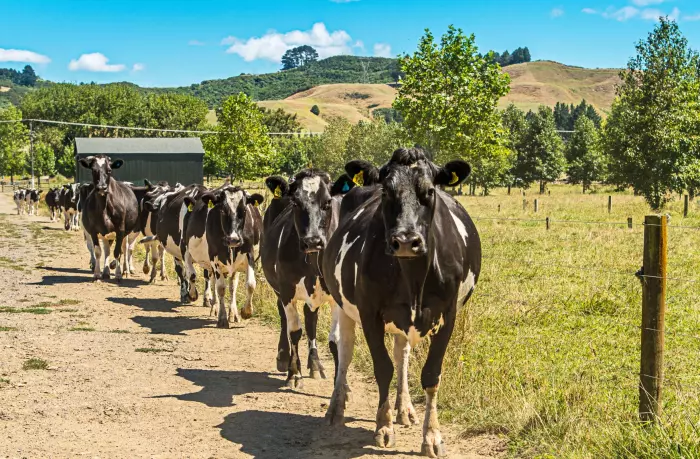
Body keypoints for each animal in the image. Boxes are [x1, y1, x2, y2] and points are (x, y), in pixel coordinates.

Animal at [182, 186, 264, 328]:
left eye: (244, 210)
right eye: (222, 210)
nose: (233, 240)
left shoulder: (249, 255)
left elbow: (250, 284)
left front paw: (246, 312)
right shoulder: (214, 259)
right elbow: (220, 288)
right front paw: (222, 318)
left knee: (232, 286)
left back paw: (233, 313)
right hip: (188, 249)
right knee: (193, 274)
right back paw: (195, 296)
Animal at [260, 171, 352, 390]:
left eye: (327, 202)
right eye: (295, 202)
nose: (312, 241)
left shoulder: (337, 296)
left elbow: (335, 339)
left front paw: (339, 383)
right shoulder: (286, 290)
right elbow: (295, 331)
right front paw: (294, 373)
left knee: (311, 319)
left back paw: (315, 364)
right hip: (278, 289)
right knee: (285, 319)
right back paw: (284, 358)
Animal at [322, 149, 482, 458]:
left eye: (430, 191)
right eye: (386, 191)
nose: (406, 241)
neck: (413, 278)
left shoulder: (448, 315)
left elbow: (430, 375)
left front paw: (432, 436)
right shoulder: (370, 314)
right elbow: (383, 368)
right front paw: (383, 427)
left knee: (402, 353)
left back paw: (405, 408)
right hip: (342, 304)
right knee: (344, 349)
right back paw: (336, 407)